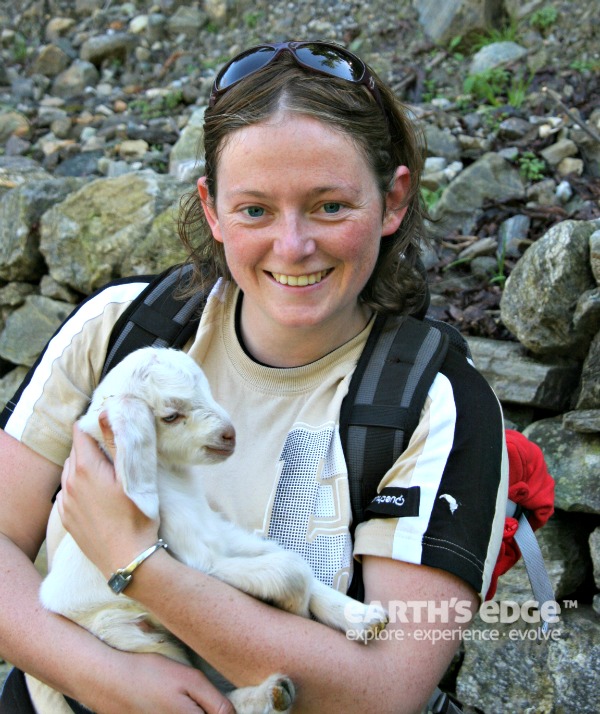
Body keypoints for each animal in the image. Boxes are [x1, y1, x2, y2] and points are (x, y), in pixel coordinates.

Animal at [34, 346, 390, 712]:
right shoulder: (199, 561)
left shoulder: (222, 534)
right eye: (171, 415)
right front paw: (295, 608)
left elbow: (289, 558)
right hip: (128, 634)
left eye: (206, 389)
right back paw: (266, 696)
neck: (174, 482)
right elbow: (288, 569)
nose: (229, 434)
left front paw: (362, 617)